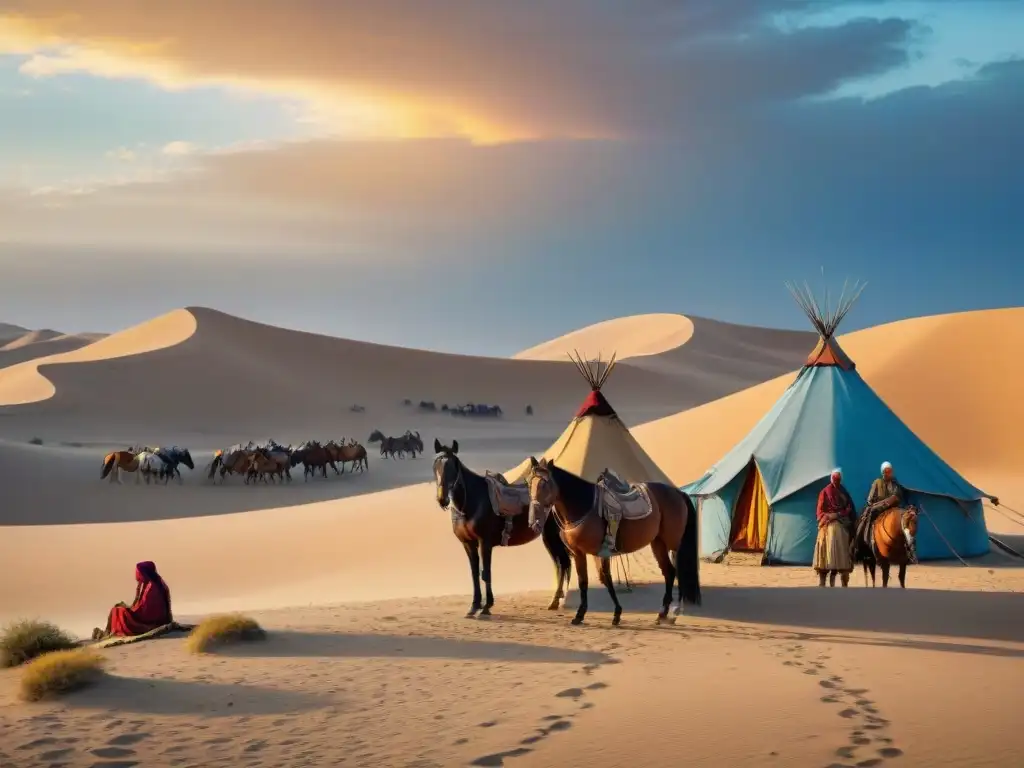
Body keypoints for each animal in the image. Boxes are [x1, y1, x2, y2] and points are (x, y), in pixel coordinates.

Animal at [434, 442, 577, 618]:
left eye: (452, 467)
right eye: (436, 465)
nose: (442, 499)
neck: (473, 503)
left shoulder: (485, 543)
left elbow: (486, 572)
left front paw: (486, 607)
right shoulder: (468, 544)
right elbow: (474, 574)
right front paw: (474, 607)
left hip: (553, 537)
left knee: (562, 563)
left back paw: (555, 601)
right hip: (548, 538)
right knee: (560, 564)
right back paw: (554, 602)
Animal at [524, 456, 700, 626]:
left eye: (544, 483)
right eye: (529, 483)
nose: (534, 522)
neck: (584, 506)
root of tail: (678, 493)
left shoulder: (602, 552)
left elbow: (605, 579)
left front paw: (614, 614)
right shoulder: (580, 553)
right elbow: (585, 581)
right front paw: (583, 615)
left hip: (673, 544)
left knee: (678, 571)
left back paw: (675, 612)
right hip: (658, 543)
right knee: (669, 572)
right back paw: (662, 614)